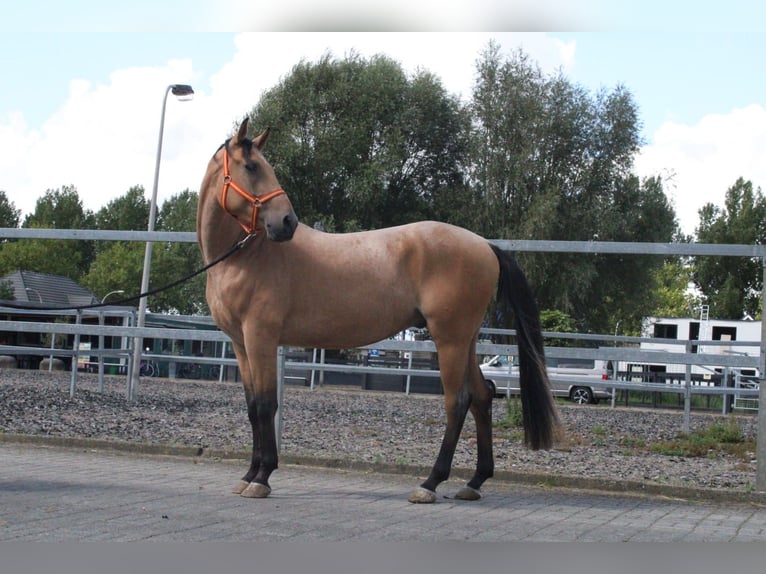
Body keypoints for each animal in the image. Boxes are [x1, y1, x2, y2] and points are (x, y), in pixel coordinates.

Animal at [196, 119, 560, 506]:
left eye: (263, 167)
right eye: (252, 167)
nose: (287, 222)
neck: (245, 257)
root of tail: (485, 245)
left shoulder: (260, 338)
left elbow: (266, 405)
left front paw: (262, 477)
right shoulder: (241, 344)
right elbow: (252, 407)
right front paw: (248, 474)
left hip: (449, 339)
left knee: (457, 401)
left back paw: (430, 483)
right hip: (466, 341)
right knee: (482, 396)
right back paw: (474, 481)